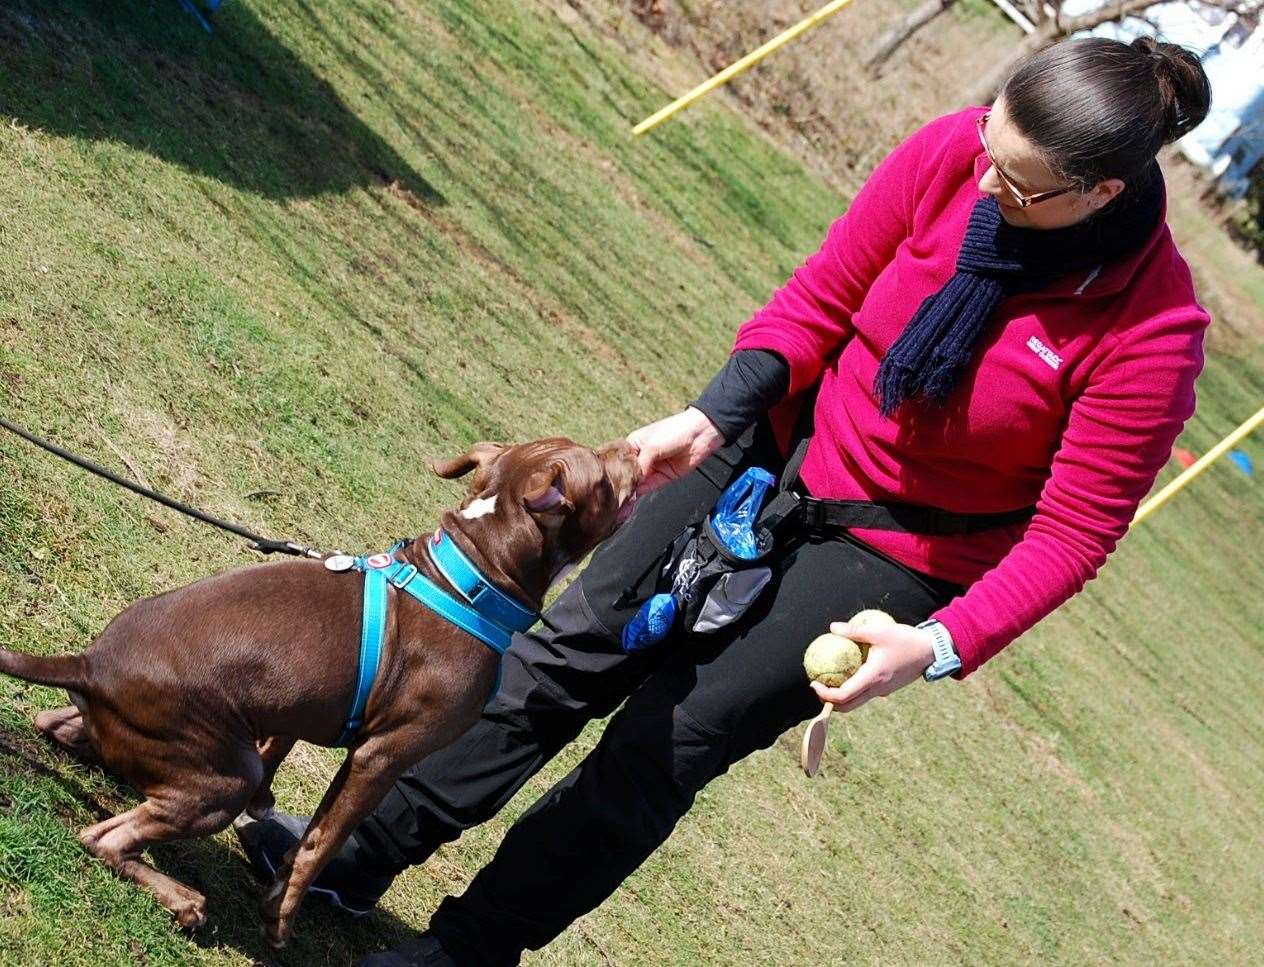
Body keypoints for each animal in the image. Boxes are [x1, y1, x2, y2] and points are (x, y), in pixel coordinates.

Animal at [0, 434, 632, 945]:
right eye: (601, 473)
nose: (634, 448)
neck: (472, 576)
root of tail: (89, 665)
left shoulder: (295, 708)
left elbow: (279, 754)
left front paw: (269, 826)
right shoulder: (382, 756)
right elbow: (321, 842)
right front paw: (280, 916)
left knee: (61, 730)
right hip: (220, 776)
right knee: (106, 838)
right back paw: (184, 899)